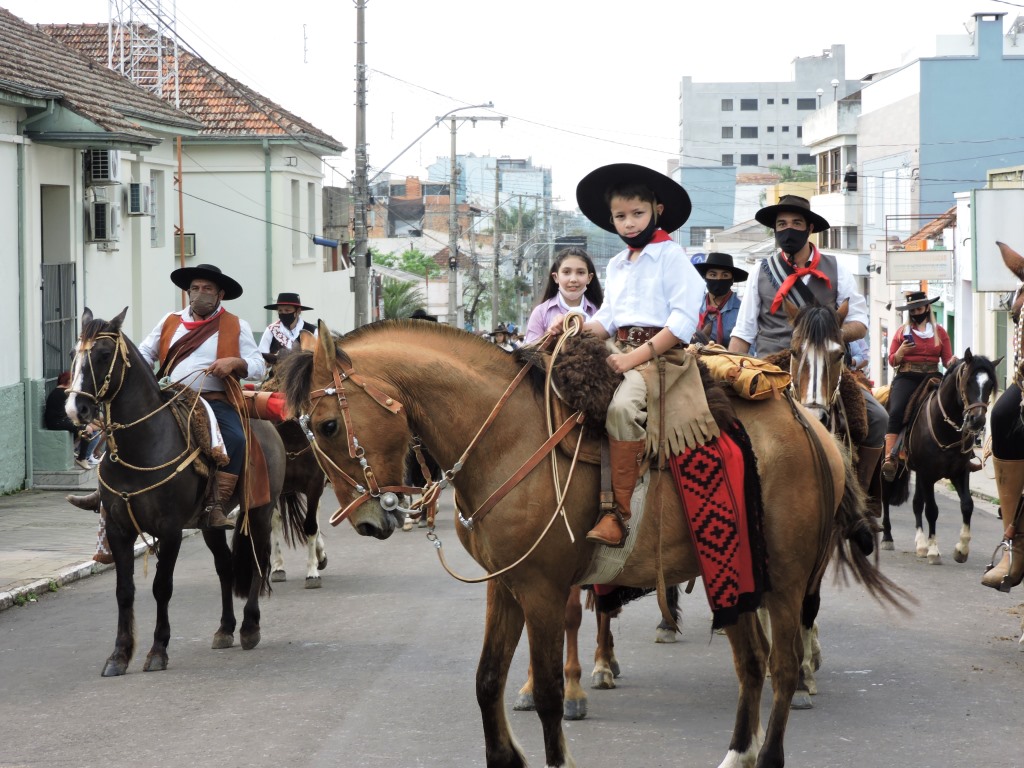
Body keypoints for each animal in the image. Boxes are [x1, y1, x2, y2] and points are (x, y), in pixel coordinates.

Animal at [68, 309, 286, 675]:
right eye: (74, 354)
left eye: (103, 354)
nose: (76, 409)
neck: (141, 444)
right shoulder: (118, 529)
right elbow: (124, 591)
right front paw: (119, 655)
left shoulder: (169, 530)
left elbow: (162, 587)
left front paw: (158, 650)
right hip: (210, 523)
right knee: (225, 565)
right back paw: (225, 629)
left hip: (259, 512)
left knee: (259, 562)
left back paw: (249, 627)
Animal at [278, 319, 905, 768]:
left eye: (328, 425)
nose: (366, 521)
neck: (507, 436)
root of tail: (809, 425)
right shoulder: (505, 585)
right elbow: (487, 681)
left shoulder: (541, 589)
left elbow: (551, 692)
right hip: (734, 574)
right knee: (751, 666)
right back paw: (736, 755)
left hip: (787, 578)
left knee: (783, 667)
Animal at [880, 352, 999, 561]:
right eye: (968, 381)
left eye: (990, 384)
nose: (977, 420)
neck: (946, 429)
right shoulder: (928, 474)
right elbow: (932, 510)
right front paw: (934, 550)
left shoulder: (959, 472)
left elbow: (967, 505)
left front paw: (961, 549)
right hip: (893, 469)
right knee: (886, 496)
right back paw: (888, 537)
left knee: (917, 503)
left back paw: (920, 544)